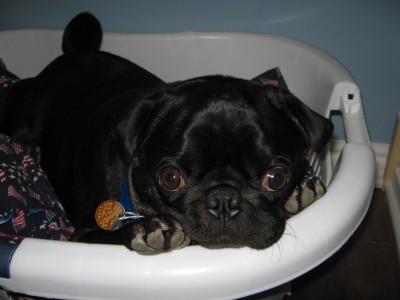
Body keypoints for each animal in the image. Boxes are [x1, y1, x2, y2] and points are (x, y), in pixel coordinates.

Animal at [0, 12, 332, 254]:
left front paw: (299, 196)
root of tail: (75, 53)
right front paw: (149, 230)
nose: (224, 199)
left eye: (276, 178)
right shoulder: (86, 235)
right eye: (171, 178)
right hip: (22, 121)